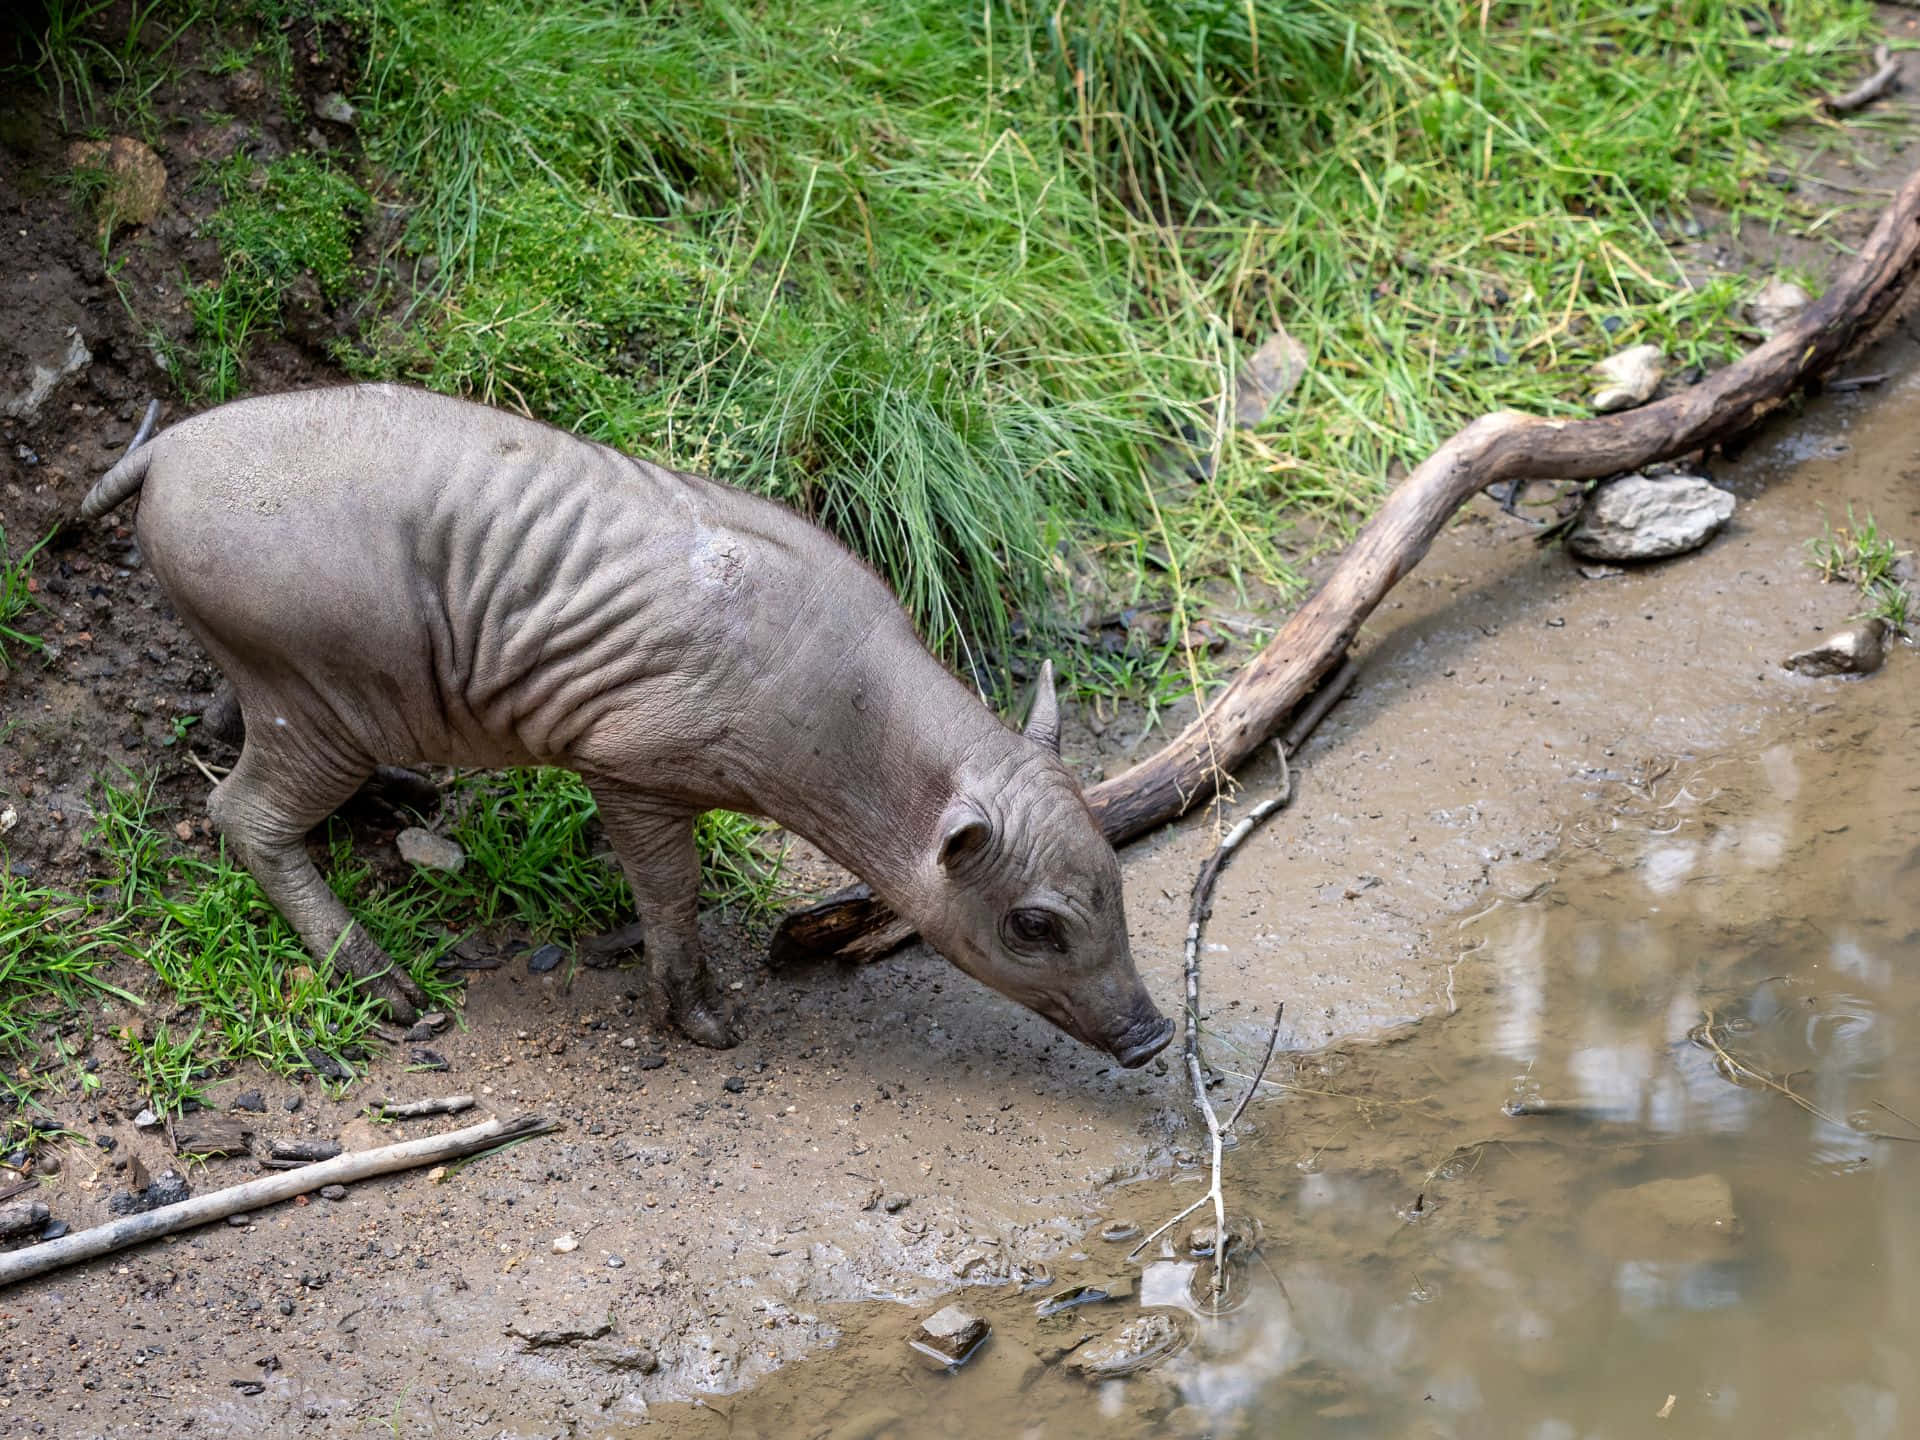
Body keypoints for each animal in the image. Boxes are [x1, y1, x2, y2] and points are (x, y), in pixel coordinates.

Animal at [82, 384, 1167, 1075]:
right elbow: (670, 892)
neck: (844, 711)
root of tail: (164, 451)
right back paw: (389, 989)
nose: (1155, 1038)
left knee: (223, 724)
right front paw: (706, 1025)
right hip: (316, 693)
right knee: (244, 816)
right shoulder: (633, 766)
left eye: (1118, 887)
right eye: (1034, 926)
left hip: (280, 680)